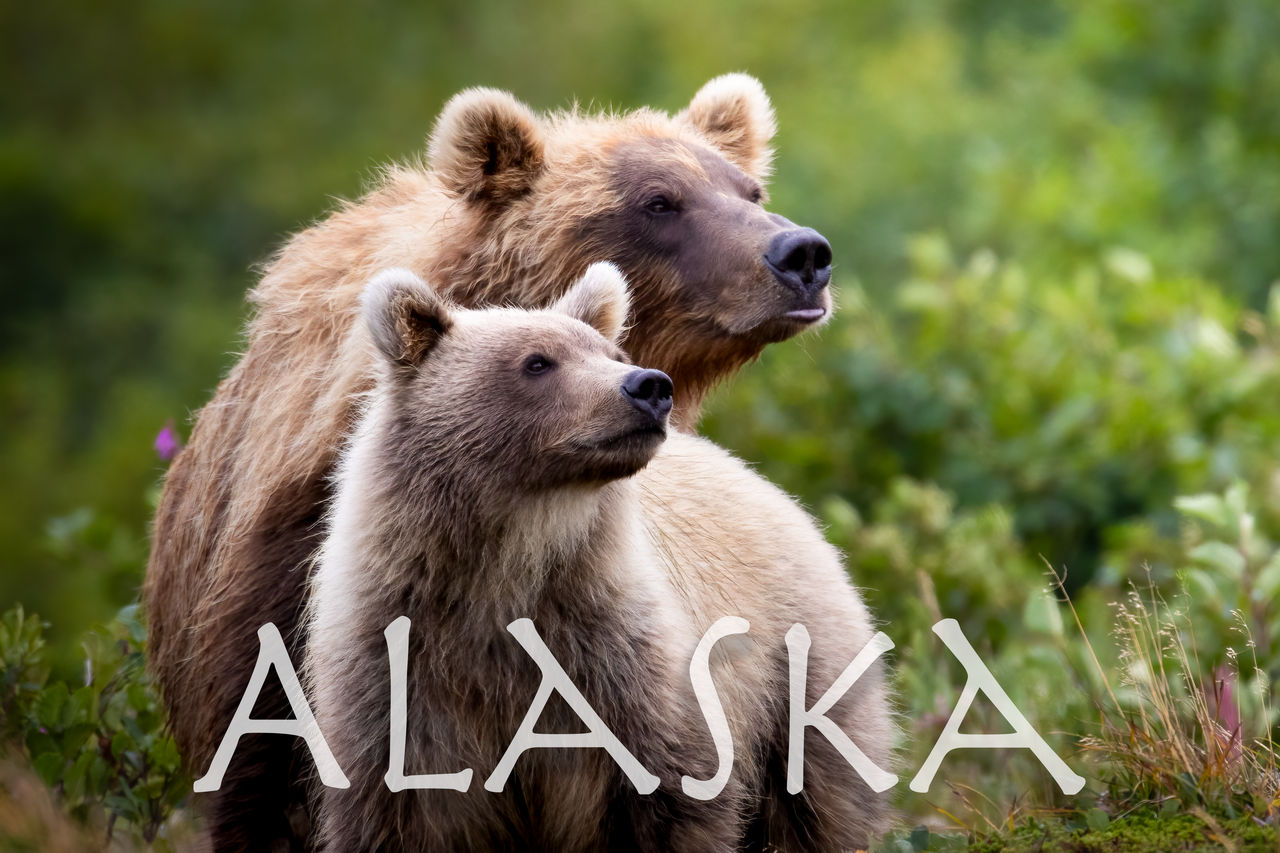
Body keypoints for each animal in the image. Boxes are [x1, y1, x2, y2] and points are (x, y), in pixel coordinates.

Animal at [305, 263, 739, 852]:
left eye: (613, 353)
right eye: (538, 361)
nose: (649, 386)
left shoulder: (615, 662)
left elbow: (673, 797)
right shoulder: (393, 680)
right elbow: (389, 810)